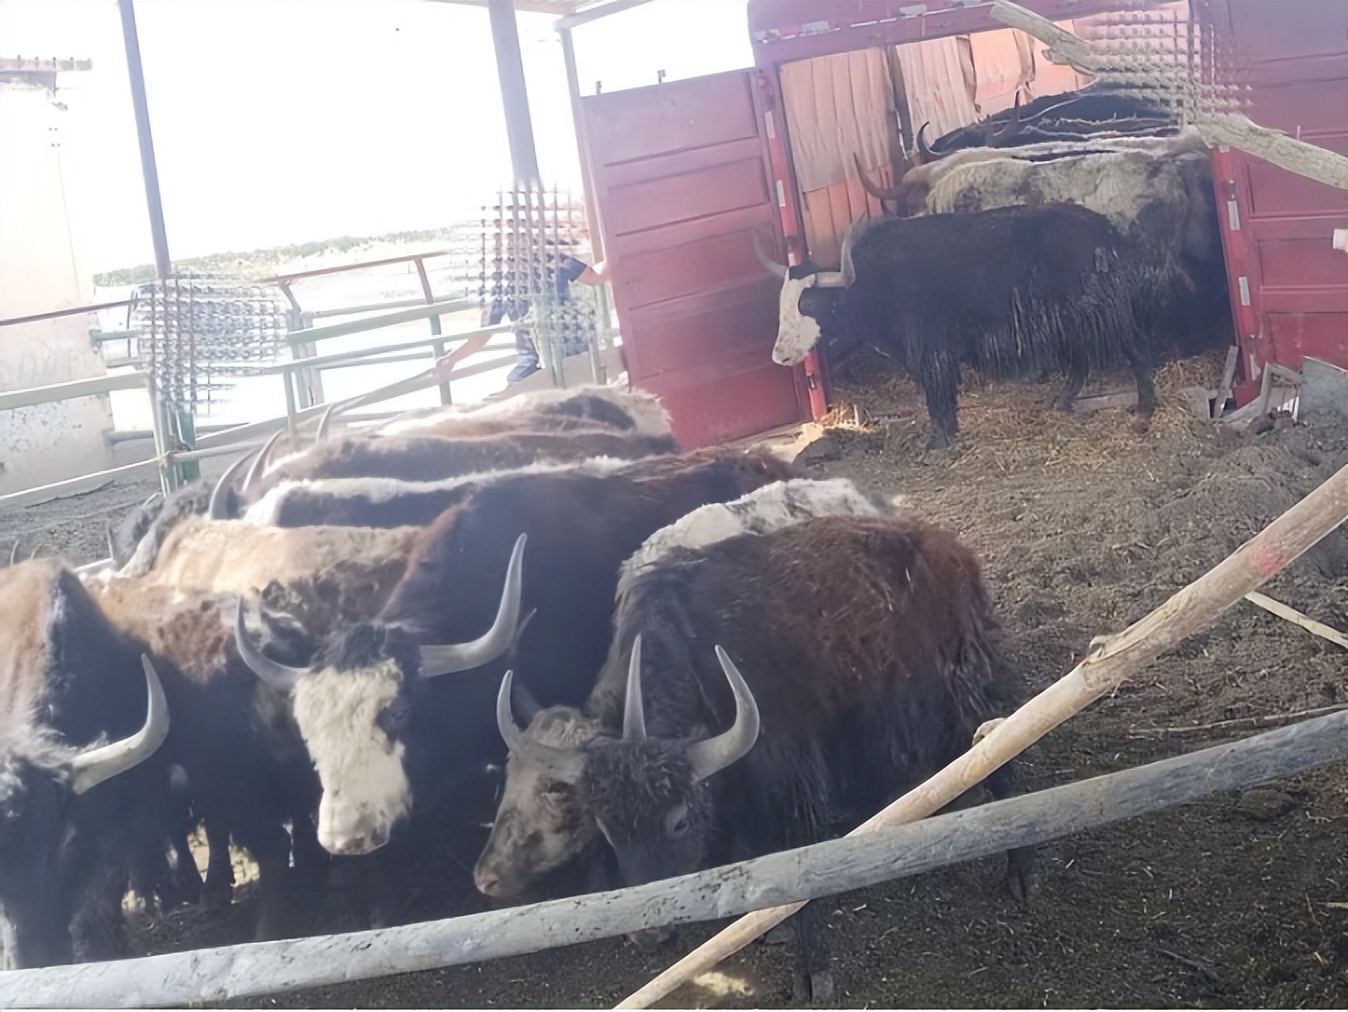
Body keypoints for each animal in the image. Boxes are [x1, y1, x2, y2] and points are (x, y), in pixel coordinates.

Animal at [489, 514, 1034, 1002]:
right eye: (606, 828)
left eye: (679, 821)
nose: (648, 934)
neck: (695, 663)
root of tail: (953, 550)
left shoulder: (790, 779)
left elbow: (793, 862)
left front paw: (813, 973)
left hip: (960, 692)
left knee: (998, 753)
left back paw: (1019, 876)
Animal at [763, 202, 1156, 450]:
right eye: (783, 301)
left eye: (809, 304)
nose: (779, 355)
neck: (871, 281)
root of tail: (1106, 229)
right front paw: (948, 434)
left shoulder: (930, 351)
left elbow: (936, 394)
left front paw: (937, 443)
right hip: (1071, 320)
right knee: (1080, 359)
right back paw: (1061, 402)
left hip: (1099, 312)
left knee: (1134, 348)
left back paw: (1145, 411)